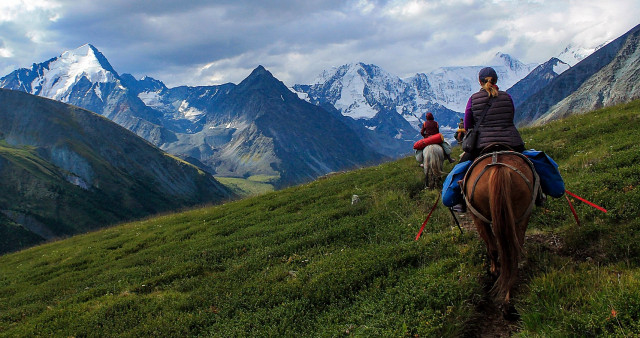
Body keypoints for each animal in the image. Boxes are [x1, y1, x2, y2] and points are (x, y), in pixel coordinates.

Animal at [462, 149, 536, 312]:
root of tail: (499, 167)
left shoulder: (477, 218)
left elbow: (491, 248)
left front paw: (493, 271)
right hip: (521, 215)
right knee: (513, 252)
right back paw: (508, 296)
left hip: (480, 218)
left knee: (495, 248)